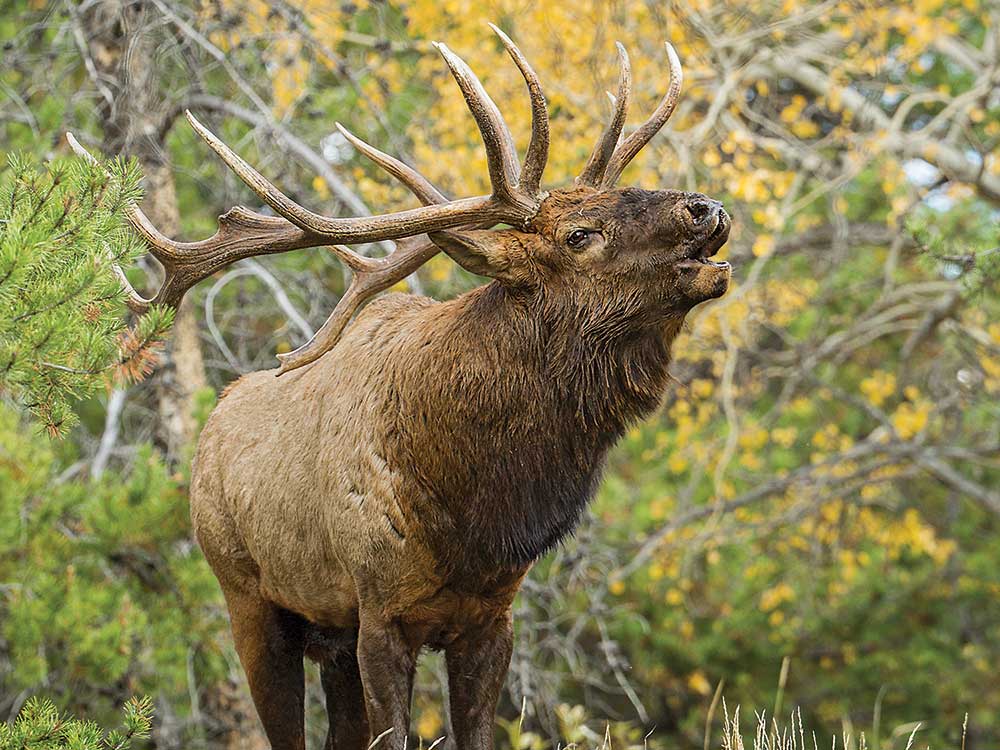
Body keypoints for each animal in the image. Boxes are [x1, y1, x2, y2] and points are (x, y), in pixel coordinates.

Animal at [69, 26, 731, 750]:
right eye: (579, 234)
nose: (705, 207)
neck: (475, 514)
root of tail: (212, 423)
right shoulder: (380, 611)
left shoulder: (490, 617)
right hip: (248, 596)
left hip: (329, 633)